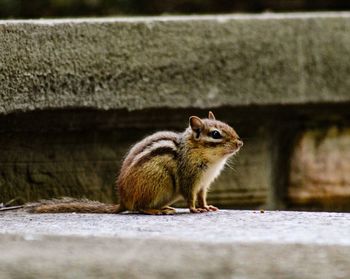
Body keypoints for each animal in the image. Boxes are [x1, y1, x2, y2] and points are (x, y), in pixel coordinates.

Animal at [30, 111, 242, 214]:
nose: (240, 143)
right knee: (139, 207)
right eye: (215, 134)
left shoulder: (204, 184)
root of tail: (123, 201)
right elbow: (190, 196)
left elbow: (202, 196)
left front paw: (206, 207)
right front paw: (194, 209)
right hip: (159, 181)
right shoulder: (189, 179)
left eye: (228, 126)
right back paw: (156, 211)